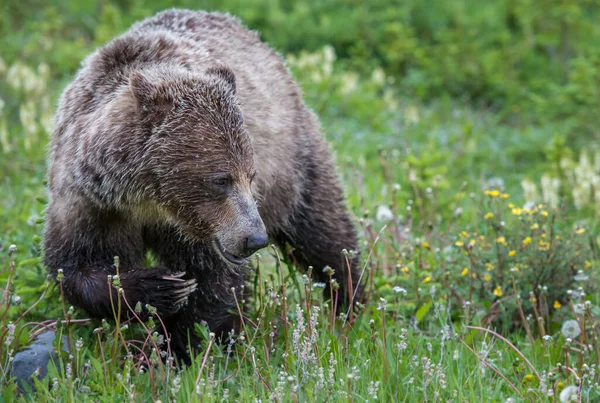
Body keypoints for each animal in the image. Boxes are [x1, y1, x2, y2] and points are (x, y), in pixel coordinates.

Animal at [44, 9, 364, 362]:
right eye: (220, 179)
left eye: (250, 175)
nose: (255, 238)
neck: (148, 200)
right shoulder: (92, 202)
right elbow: (77, 267)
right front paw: (161, 287)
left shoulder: (203, 229)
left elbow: (213, 285)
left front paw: (187, 347)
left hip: (295, 159)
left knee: (323, 232)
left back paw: (350, 303)